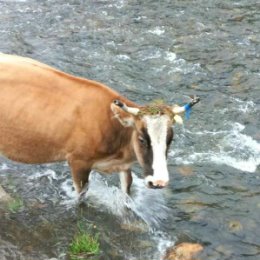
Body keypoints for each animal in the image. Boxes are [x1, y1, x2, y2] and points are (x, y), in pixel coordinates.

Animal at [0, 53, 200, 196]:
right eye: (142, 139)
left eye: (170, 140)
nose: (159, 182)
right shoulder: (78, 161)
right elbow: (81, 196)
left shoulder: (124, 166)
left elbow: (127, 193)